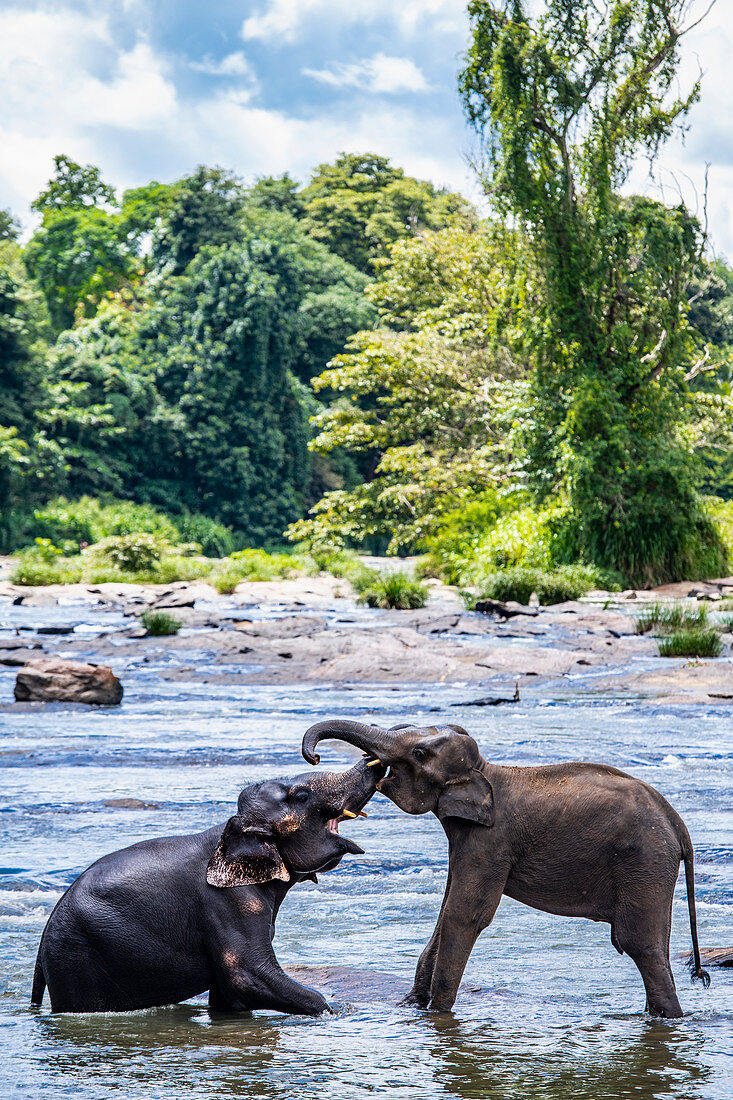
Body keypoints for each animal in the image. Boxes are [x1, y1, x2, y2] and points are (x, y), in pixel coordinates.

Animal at [30, 756, 378, 1012]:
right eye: (302, 796)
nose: (370, 760)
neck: (231, 830)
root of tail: (43, 943)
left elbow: (228, 997)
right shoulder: (228, 902)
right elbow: (247, 977)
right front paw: (335, 1011)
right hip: (78, 962)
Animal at [299, 717, 704, 1016]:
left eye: (418, 752)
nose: (314, 757)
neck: (483, 771)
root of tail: (678, 825)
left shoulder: (491, 841)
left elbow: (465, 914)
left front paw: (437, 1015)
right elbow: (445, 910)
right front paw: (410, 1007)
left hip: (645, 861)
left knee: (642, 946)